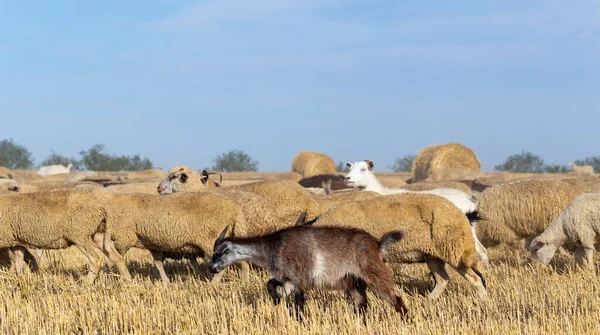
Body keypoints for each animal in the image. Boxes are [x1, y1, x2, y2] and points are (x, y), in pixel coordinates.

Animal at [0, 189, 130, 284]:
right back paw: (128, 281)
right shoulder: (16, 242)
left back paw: (86, 283)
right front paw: (22, 278)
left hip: (79, 234)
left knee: (96, 258)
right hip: (97, 235)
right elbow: (21, 261)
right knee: (117, 257)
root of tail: (100, 207)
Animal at [207, 226, 408, 318]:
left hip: (374, 273)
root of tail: (377, 244)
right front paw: (277, 302)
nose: (211, 268)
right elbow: (270, 284)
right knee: (362, 304)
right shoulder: (286, 278)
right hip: (354, 281)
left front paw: (299, 319)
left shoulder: (298, 279)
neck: (272, 247)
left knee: (395, 299)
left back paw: (405, 320)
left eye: (220, 252)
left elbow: (299, 302)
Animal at [314, 193, 488, 300]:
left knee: (475, 279)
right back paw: (427, 301)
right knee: (443, 279)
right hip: (433, 256)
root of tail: (462, 214)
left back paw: (484, 300)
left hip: (455, 252)